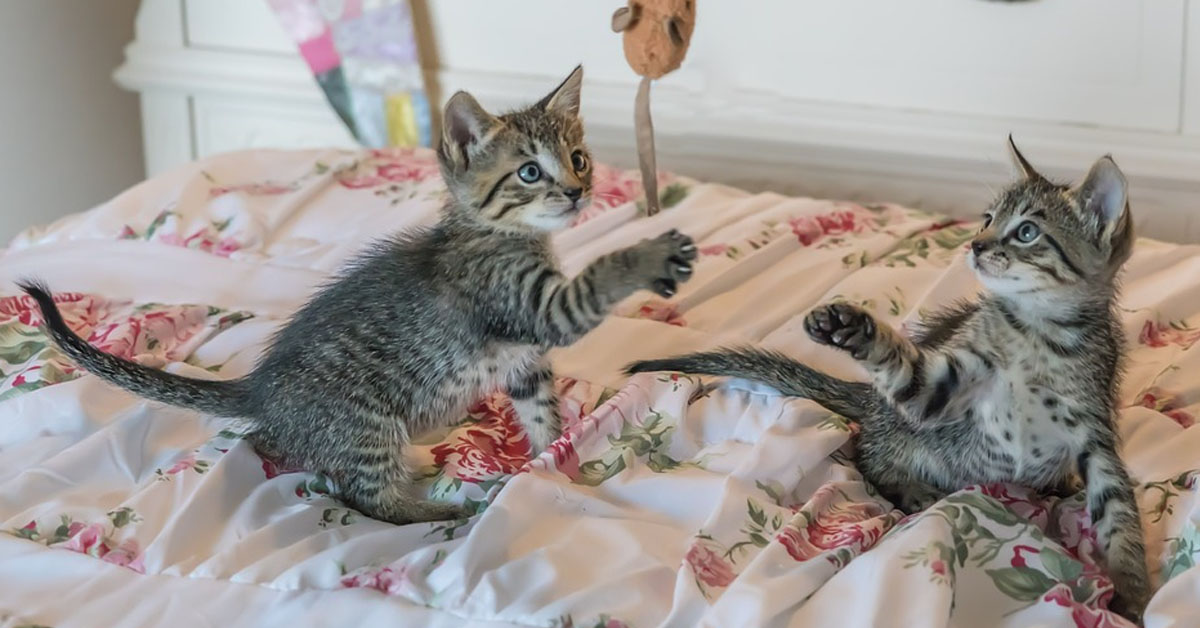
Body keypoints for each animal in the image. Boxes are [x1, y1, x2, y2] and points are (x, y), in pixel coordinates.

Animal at [18, 63, 700, 525]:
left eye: (579, 158)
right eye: (530, 172)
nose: (579, 193)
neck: (500, 234)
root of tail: (260, 388)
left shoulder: (526, 363)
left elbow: (542, 416)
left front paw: (553, 465)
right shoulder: (530, 307)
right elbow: (598, 278)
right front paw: (650, 253)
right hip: (368, 423)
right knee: (363, 499)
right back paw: (441, 511)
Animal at [624, 136, 1147, 619]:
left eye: (1026, 231)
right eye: (987, 219)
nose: (975, 245)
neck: (1037, 332)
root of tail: (873, 406)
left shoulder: (1095, 431)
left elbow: (1120, 515)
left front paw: (1132, 596)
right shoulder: (944, 387)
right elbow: (906, 369)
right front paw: (850, 327)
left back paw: (1056, 483)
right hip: (900, 432)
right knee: (867, 455)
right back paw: (912, 487)